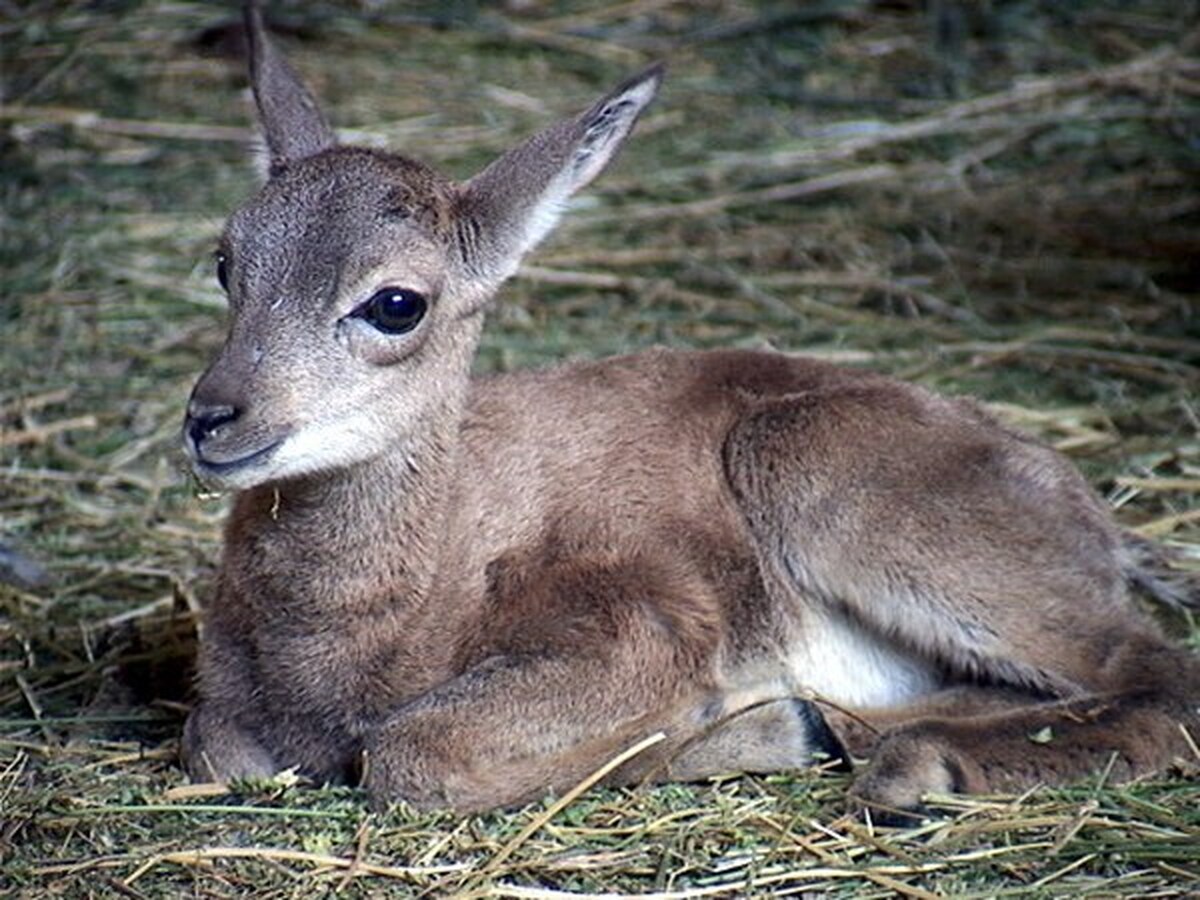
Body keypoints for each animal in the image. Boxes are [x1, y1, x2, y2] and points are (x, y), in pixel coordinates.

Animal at [180, 3, 1200, 816]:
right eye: (228, 261)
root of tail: (1090, 518)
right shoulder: (223, 717)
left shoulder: (643, 617)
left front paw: (761, 727)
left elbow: (410, 754)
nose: (213, 417)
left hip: (836, 485)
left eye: (396, 302)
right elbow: (216, 748)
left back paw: (908, 763)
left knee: (1159, 678)